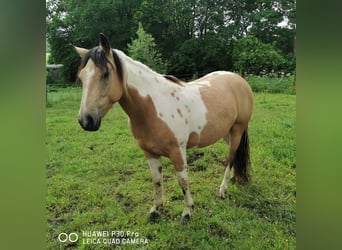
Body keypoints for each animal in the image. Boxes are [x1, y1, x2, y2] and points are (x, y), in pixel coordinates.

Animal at [73, 33, 252, 225]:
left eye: (106, 74)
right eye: (81, 78)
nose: (86, 120)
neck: (154, 107)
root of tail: (238, 79)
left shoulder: (177, 152)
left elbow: (183, 181)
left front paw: (187, 212)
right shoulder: (150, 153)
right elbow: (157, 181)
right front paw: (155, 210)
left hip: (237, 130)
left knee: (230, 158)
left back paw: (222, 191)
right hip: (227, 133)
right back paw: (233, 179)